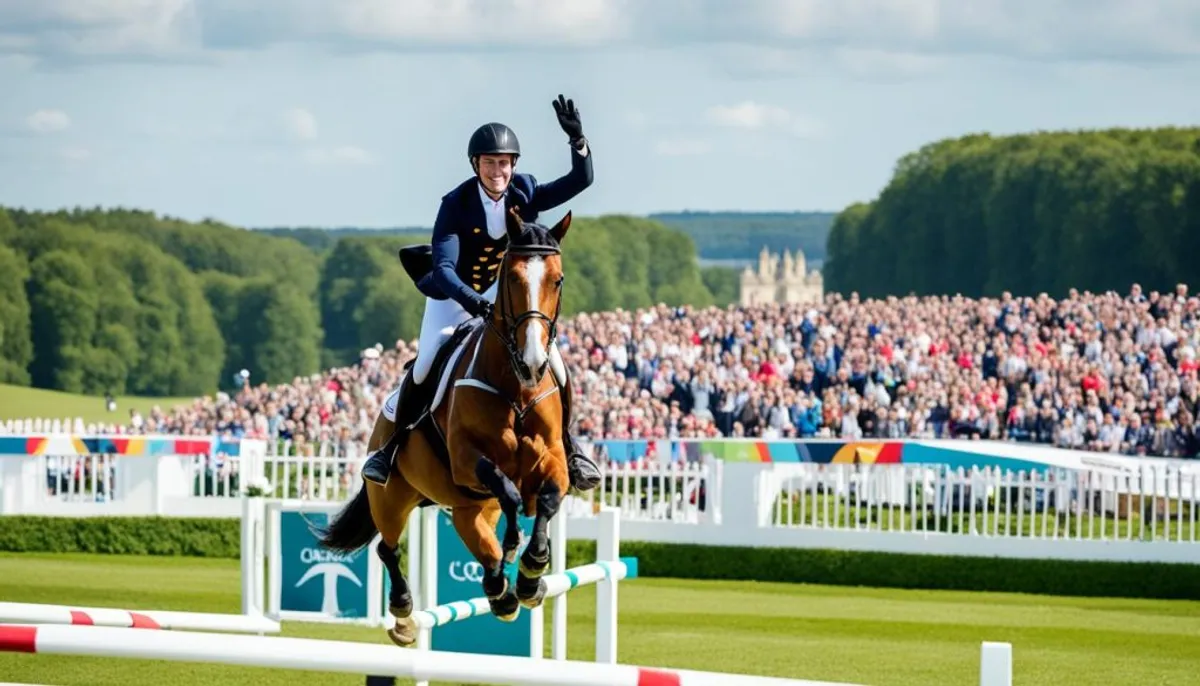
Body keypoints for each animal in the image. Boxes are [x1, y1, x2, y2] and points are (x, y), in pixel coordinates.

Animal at [319, 206, 571, 647]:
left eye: (556, 280)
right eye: (512, 278)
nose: (533, 363)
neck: (514, 386)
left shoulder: (553, 457)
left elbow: (549, 497)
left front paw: (533, 567)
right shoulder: (466, 460)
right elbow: (509, 491)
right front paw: (519, 552)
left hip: (470, 507)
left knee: (475, 537)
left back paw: (504, 589)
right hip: (392, 495)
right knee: (387, 547)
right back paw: (407, 612)